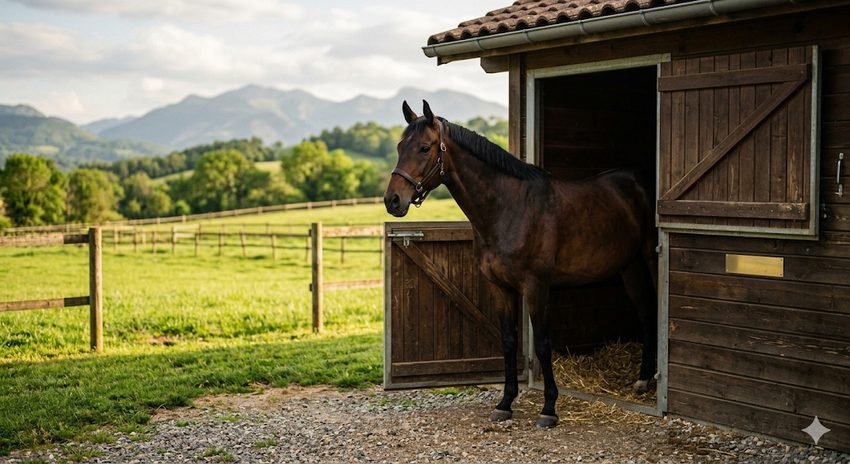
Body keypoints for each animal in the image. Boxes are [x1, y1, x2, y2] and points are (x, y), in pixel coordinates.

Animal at [384, 100, 658, 428]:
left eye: (424, 148)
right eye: (400, 146)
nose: (392, 200)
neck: (509, 209)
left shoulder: (536, 287)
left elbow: (541, 343)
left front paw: (549, 408)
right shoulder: (500, 287)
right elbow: (508, 341)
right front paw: (505, 403)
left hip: (650, 258)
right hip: (629, 266)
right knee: (645, 310)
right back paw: (642, 380)